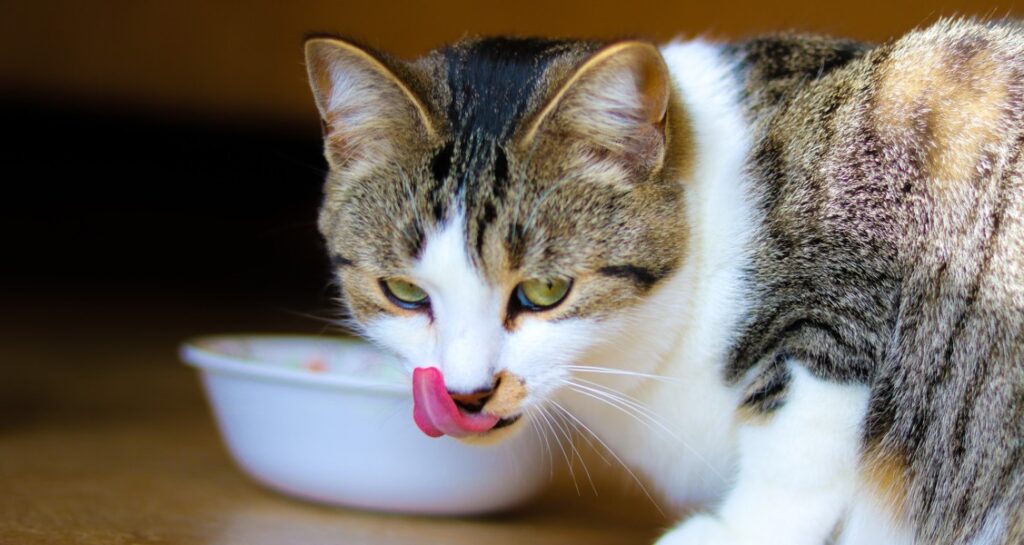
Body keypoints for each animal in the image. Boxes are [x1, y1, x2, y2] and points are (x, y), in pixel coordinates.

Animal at [303, 19, 1024, 545]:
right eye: (404, 293)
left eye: (545, 292)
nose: (467, 393)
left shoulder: (856, 270)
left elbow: (799, 447)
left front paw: (731, 532)